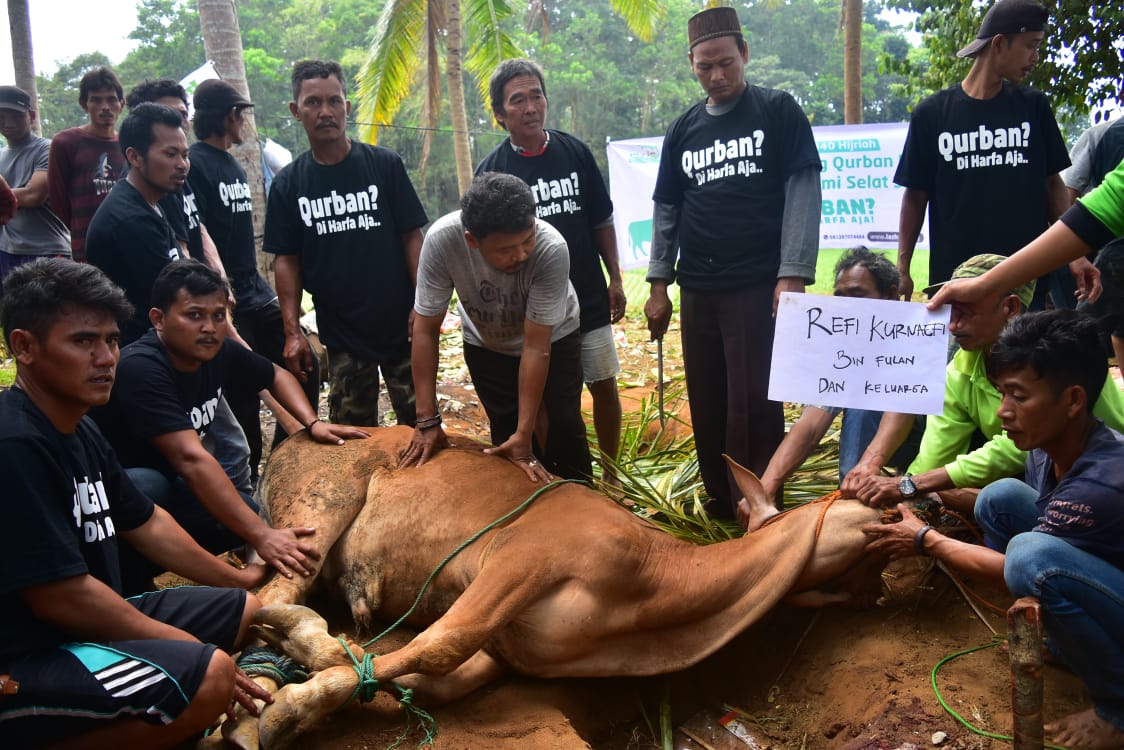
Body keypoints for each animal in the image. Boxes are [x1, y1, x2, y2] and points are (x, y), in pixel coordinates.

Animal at [212, 427, 885, 750]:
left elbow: (434, 678)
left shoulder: (510, 651)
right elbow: (439, 644)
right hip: (315, 515)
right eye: (879, 508)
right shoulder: (521, 559)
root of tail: (289, 439)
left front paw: (312, 666)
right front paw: (284, 707)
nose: (912, 505)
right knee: (276, 593)